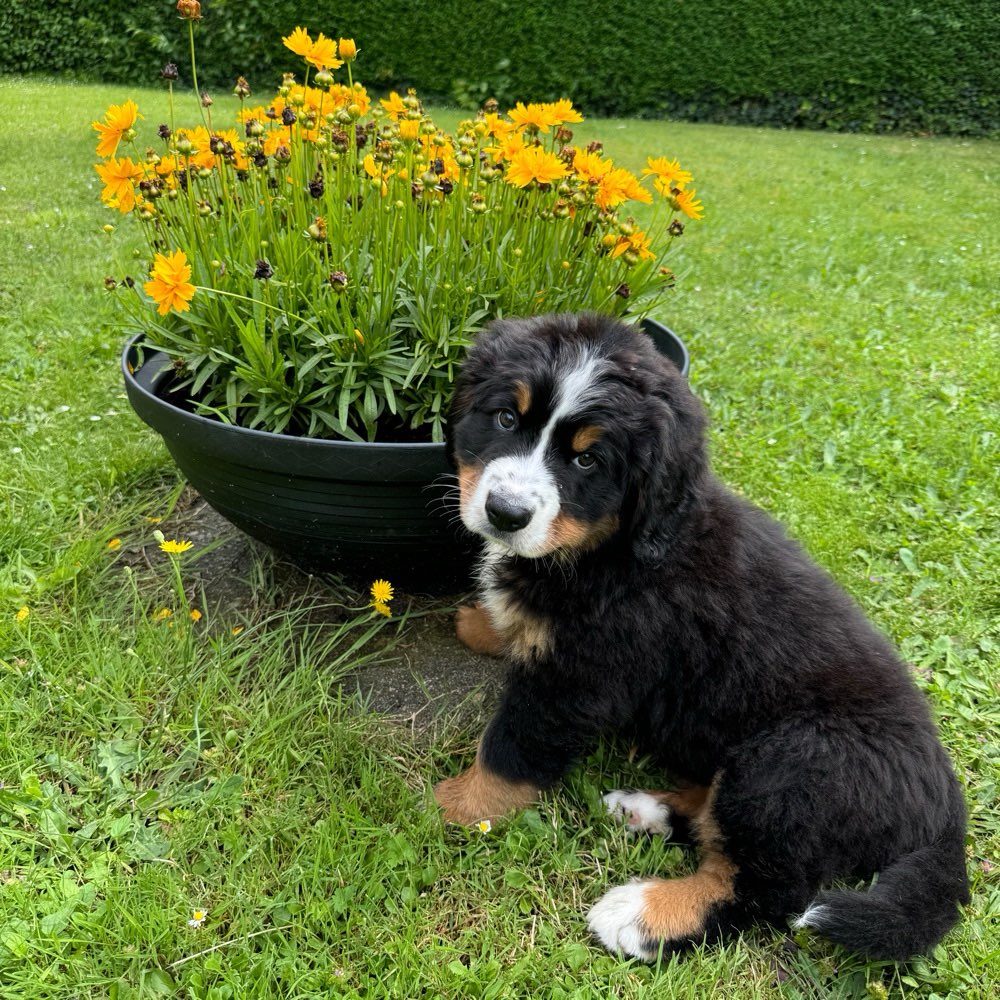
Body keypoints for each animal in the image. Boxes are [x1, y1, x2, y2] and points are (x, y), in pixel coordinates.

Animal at [436, 312, 968, 960]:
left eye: (588, 462)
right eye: (506, 420)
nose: (506, 513)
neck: (616, 550)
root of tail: (944, 806)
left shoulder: (580, 676)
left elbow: (510, 748)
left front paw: (456, 807)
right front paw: (487, 621)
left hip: (790, 765)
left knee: (765, 889)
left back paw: (643, 915)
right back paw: (645, 810)